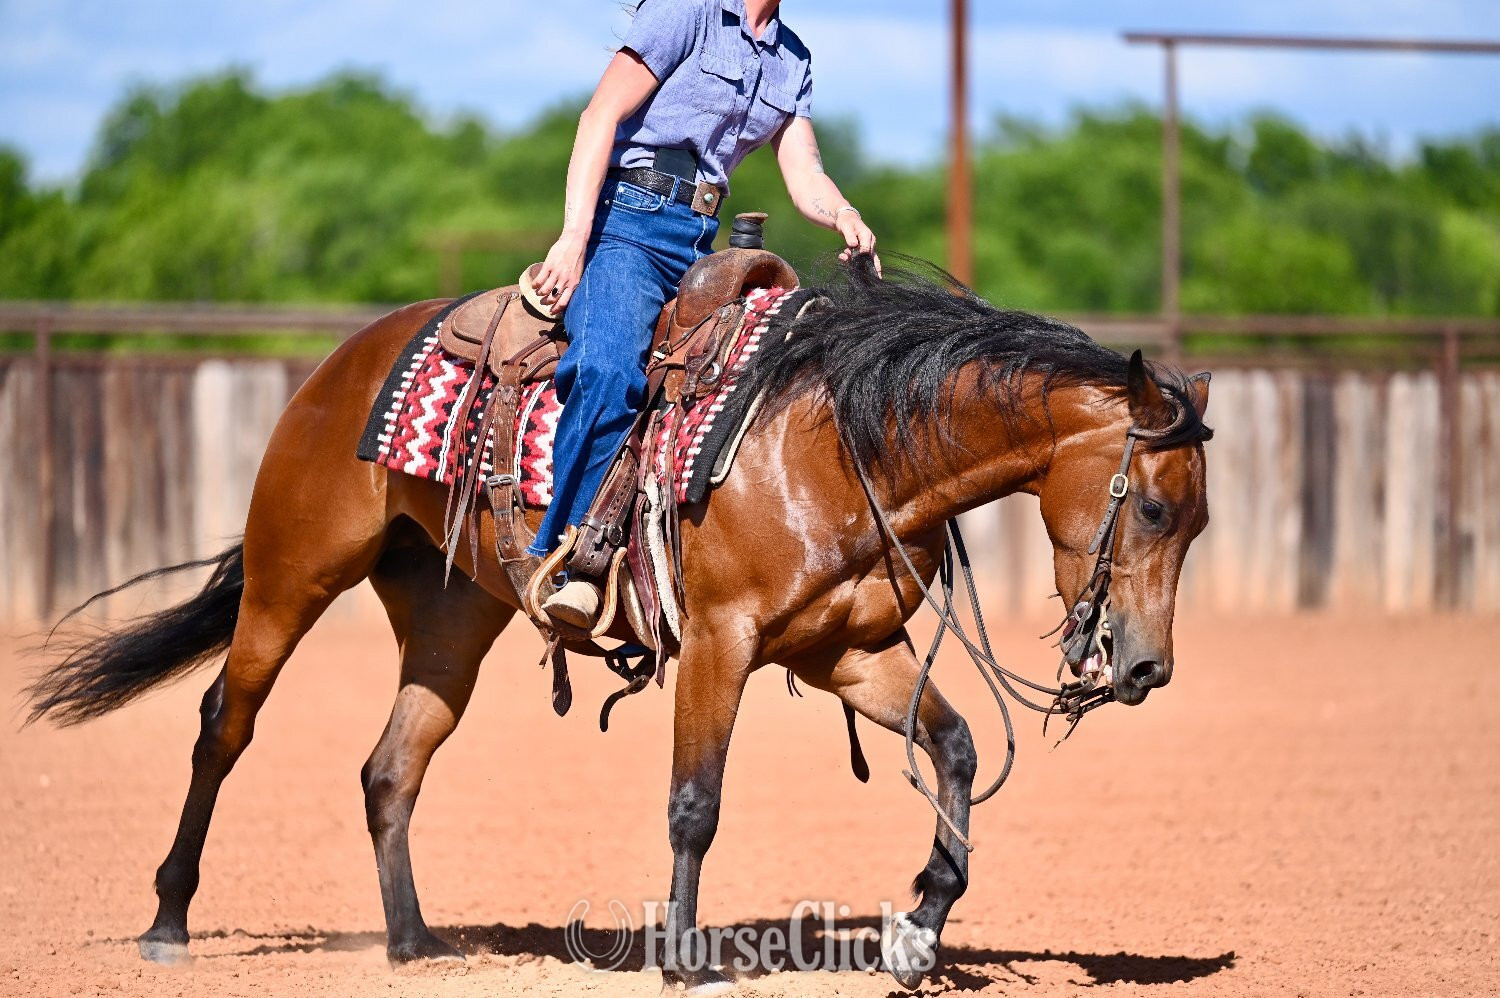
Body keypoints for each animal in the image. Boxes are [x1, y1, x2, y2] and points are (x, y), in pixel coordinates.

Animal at [26, 256, 1212, 993]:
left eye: (1198, 519)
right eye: (1154, 507)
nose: (1148, 667)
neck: (835, 438)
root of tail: (342, 362)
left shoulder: (843, 652)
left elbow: (957, 748)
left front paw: (919, 927)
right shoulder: (723, 640)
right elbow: (696, 802)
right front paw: (685, 957)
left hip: (449, 618)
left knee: (390, 766)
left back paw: (415, 942)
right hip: (290, 575)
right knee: (223, 725)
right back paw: (168, 922)